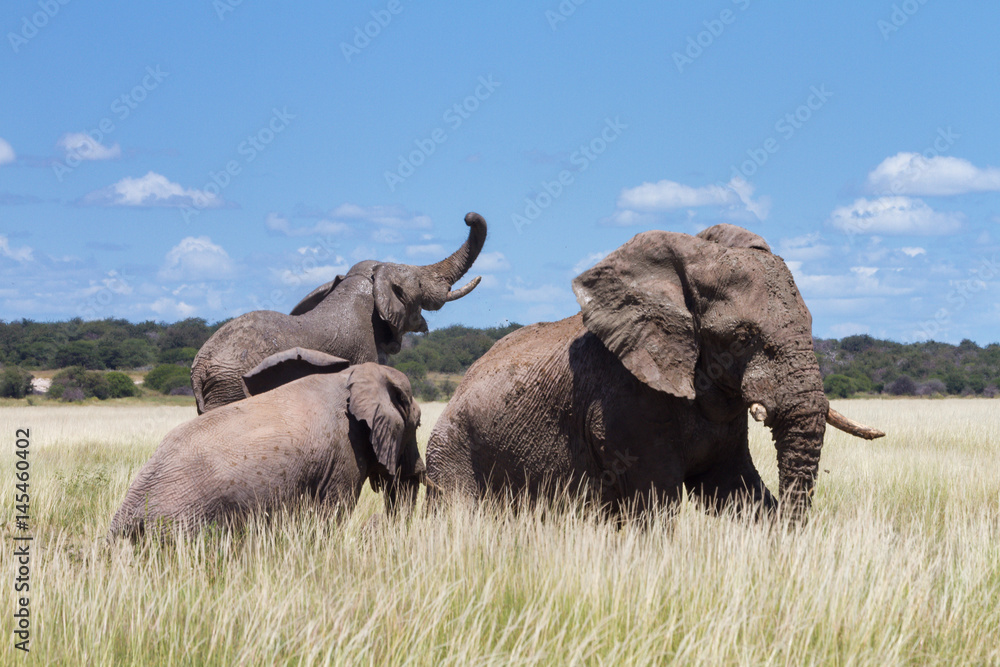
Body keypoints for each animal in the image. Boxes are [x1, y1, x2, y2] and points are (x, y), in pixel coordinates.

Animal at [108, 349, 424, 539]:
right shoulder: (344, 452)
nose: (376, 523)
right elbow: (333, 513)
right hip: (181, 520)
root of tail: (127, 511)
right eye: (419, 423)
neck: (357, 374)